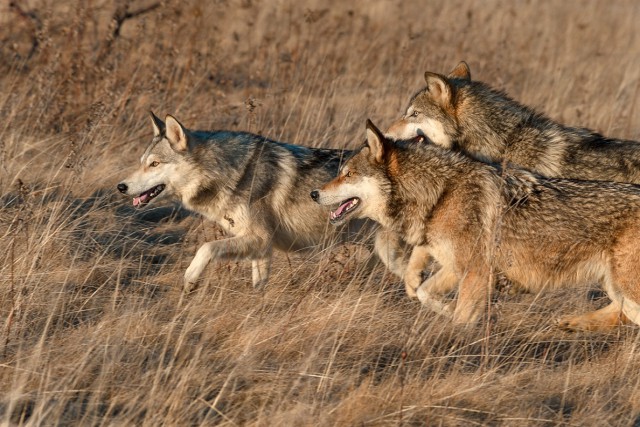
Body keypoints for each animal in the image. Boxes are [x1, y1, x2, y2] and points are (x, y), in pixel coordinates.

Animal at [117, 113, 408, 292]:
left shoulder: (259, 238)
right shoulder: (261, 248)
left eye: (154, 164)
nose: (121, 186)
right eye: (142, 162)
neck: (228, 172)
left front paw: (190, 280)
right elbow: (258, 284)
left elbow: (206, 248)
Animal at [312, 120, 640, 331]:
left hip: (625, 286)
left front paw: (455, 334)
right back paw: (571, 324)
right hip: (614, 286)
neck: (440, 194)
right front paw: (446, 311)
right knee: (619, 314)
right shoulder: (456, 266)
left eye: (348, 174)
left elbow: (456, 311)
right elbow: (423, 291)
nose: (314, 194)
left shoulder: (476, 271)